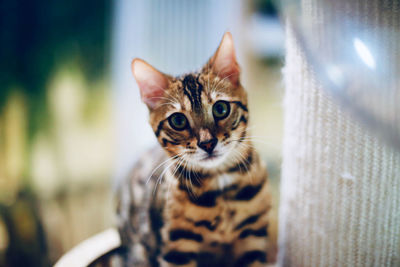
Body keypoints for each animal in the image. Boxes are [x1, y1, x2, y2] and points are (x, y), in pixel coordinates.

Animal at [115, 32, 276, 266]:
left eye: (221, 108)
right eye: (178, 121)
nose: (207, 143)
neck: (220, 186)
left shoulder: (253, 240)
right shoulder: (176, 250)